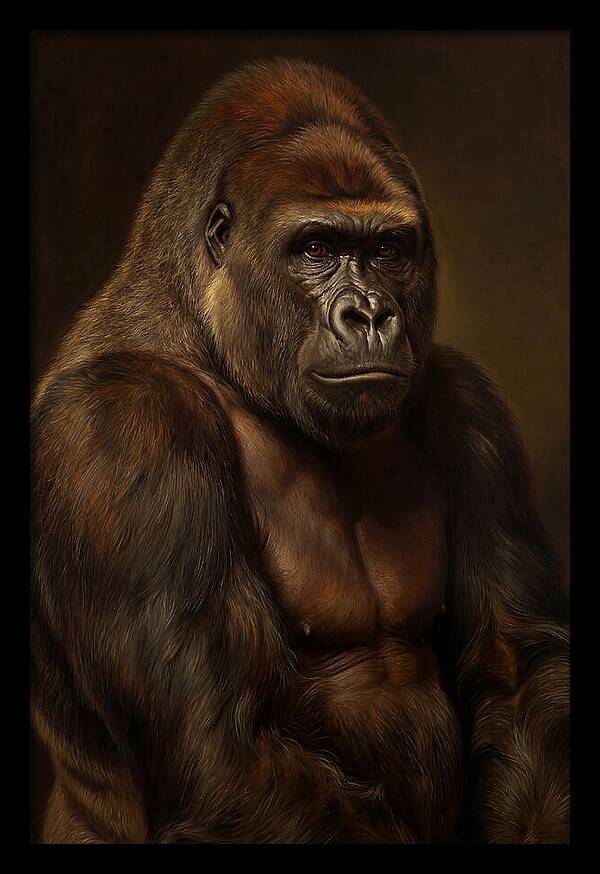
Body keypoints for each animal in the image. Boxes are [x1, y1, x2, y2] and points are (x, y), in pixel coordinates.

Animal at [31, 58, 569, 843]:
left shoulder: (468, 406)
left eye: (386, 251)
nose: (370, 314)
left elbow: (516, 666)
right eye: (316, 248)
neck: (210, 341)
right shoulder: (124, 426)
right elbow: (221, 748)